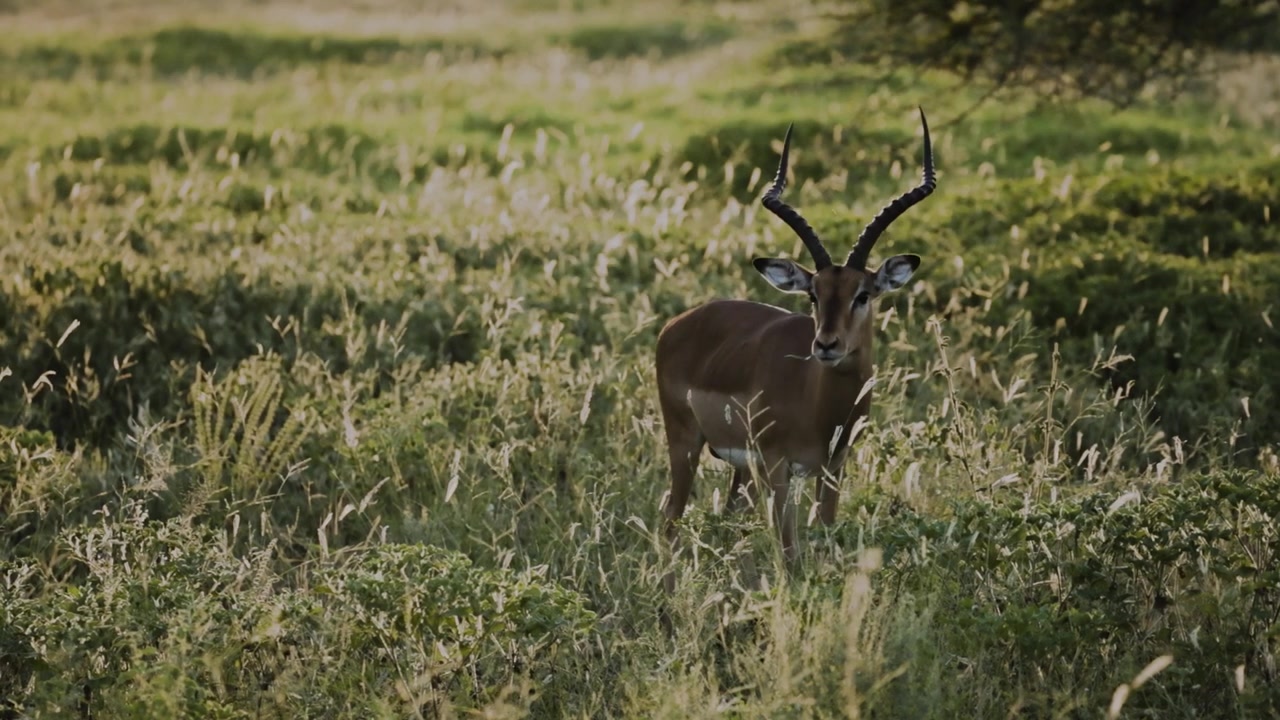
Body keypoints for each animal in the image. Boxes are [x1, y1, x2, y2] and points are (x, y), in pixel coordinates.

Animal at [656, 108, 936, 579]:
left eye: (863, 294)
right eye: (813, 295)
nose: (826, 345)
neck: (820, 404)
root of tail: (675, 325)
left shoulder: (834, 467)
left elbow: (823, 537)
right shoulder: (779, 467)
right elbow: (790, 555)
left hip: (741, 469)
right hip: (687, 444)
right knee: (669, 522)